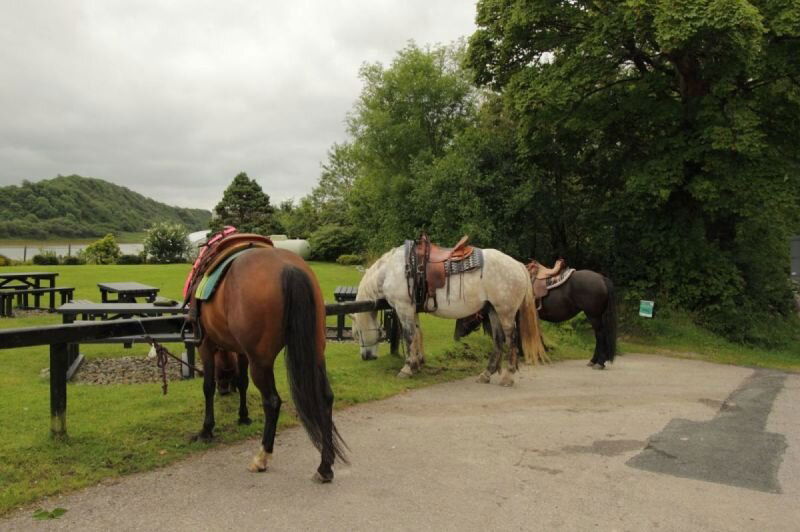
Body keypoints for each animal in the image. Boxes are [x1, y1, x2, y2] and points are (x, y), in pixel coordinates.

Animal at [195, 247, 346, 484]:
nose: (224, 389)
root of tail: (289, 267)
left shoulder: (205, 344)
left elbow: (207, 387)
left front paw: (206, 430)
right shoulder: (241, 350)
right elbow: (242, 382)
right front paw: (243, 416)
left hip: (261, 361)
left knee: (272, 401)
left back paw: (262, 457)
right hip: (315, 351)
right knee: (325, 398)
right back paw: (325, 466)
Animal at [354, 245, 548, 386]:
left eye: (356, 334)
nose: (366, 357)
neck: (391, 270)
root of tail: (518, 265)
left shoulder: (404, 308)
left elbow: (409, 336)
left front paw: (407, 368)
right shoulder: (412, 310)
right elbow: (417, 335)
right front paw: (417, 364)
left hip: (505, 312)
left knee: (511, 339)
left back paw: (508, 376)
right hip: (493, 310)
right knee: (498, 340)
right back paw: (486, 374)